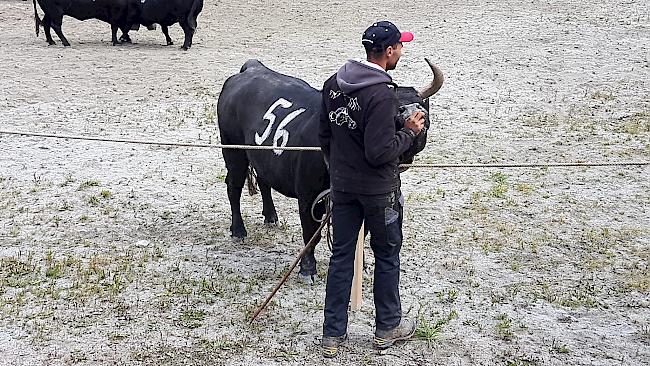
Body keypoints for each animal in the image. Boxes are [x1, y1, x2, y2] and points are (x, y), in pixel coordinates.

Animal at [216, 60, 440, 284]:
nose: (417, 114)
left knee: (263, 180)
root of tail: (253, 67)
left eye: (420, 102)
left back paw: (271, 216)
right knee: (233, 186)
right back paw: (238, 230)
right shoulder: (307, 197)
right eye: (396, 106)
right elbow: (310, 233)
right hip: (233, 150)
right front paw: (308, 268)